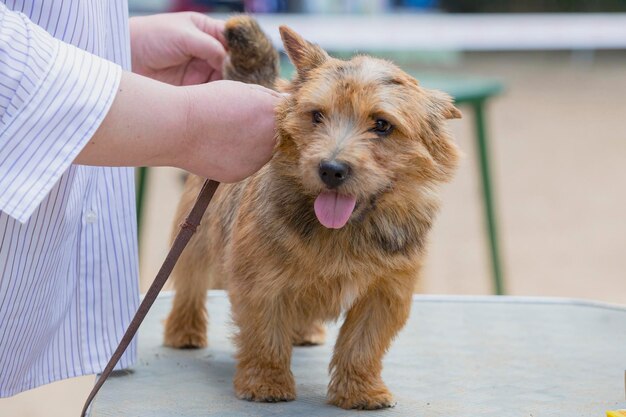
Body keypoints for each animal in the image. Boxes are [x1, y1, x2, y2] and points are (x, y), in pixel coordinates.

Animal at [163, 15, 460, 410]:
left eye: (382, 124)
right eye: (316, 115)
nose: (331, 169)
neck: (345, 232)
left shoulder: (385, 293)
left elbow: (363, 344)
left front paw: (360, 391)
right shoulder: (261, 284)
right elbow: (265, 335)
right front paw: (266, 383)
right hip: (194, 241)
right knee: (190, 285)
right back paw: (184, 331)